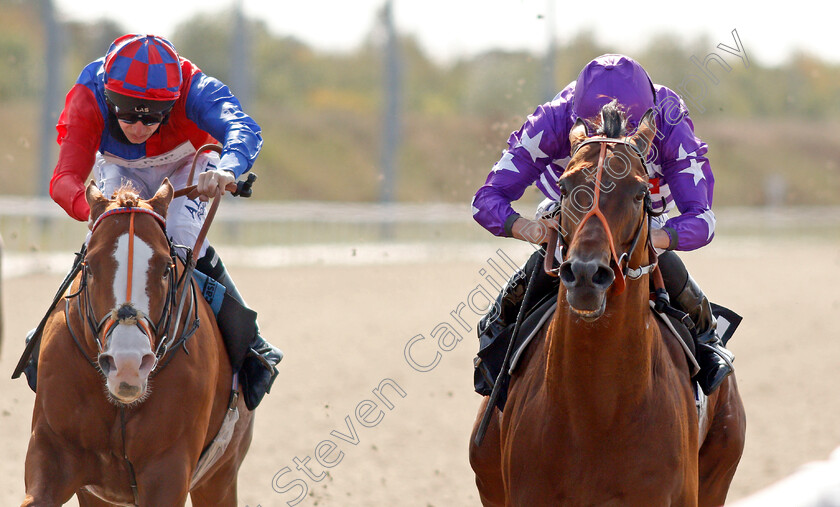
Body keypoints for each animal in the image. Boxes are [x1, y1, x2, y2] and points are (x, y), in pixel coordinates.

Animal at [22, 181, 253, 506]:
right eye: (89, 266)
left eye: (166, 267)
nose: (127, 365)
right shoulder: (52, 453)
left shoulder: (168, 469)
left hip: (221, 475)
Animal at [470, 108, 744, 507]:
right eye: (565, 187)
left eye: (639, 191)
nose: (586, 274)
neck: (598, 409)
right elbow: (488, 195)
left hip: (719, 468)